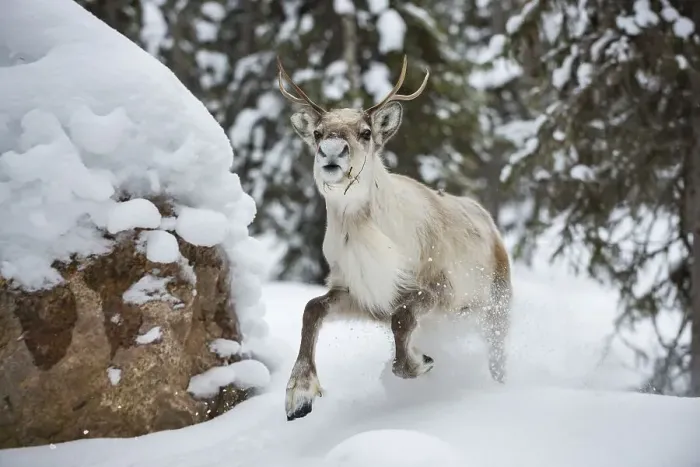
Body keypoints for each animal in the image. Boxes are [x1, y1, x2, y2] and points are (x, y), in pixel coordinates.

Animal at [277, 55, 512, 421]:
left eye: (366, 132)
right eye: (317, 133)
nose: (331, 151)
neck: (364, 235)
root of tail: (490, 223)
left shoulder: (436, 290)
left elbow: (402, 321)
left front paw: (419, 363)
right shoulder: (362, 296)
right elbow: (311, 309)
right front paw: (298, 396)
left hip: (495, 307)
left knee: (497, 354)